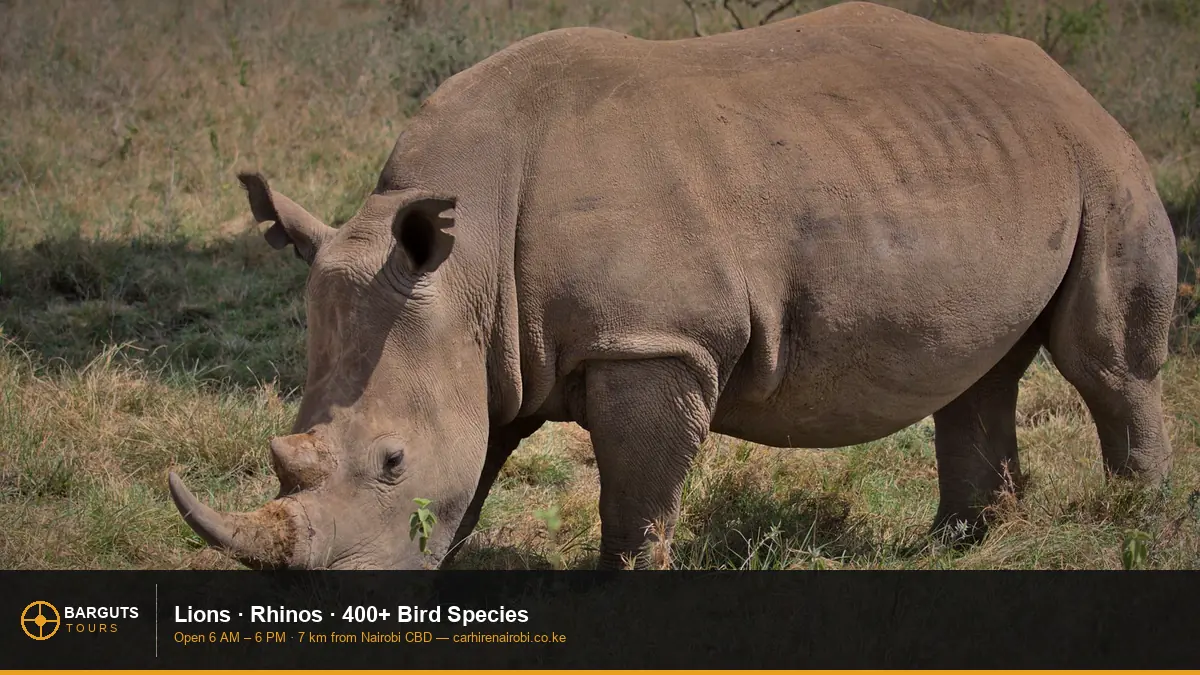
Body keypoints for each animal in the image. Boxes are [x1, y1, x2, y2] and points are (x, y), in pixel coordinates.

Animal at [168, 1, 1177, 570]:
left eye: (390, 462)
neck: (470, 266)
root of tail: (1065, 81)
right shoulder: (486, 350)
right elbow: (475, 476)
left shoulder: (654, 342)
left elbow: (637, 502)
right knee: (981, 370)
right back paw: (958, 547)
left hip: (1102, 157)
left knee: (1106, 364)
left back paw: (1135, 525)